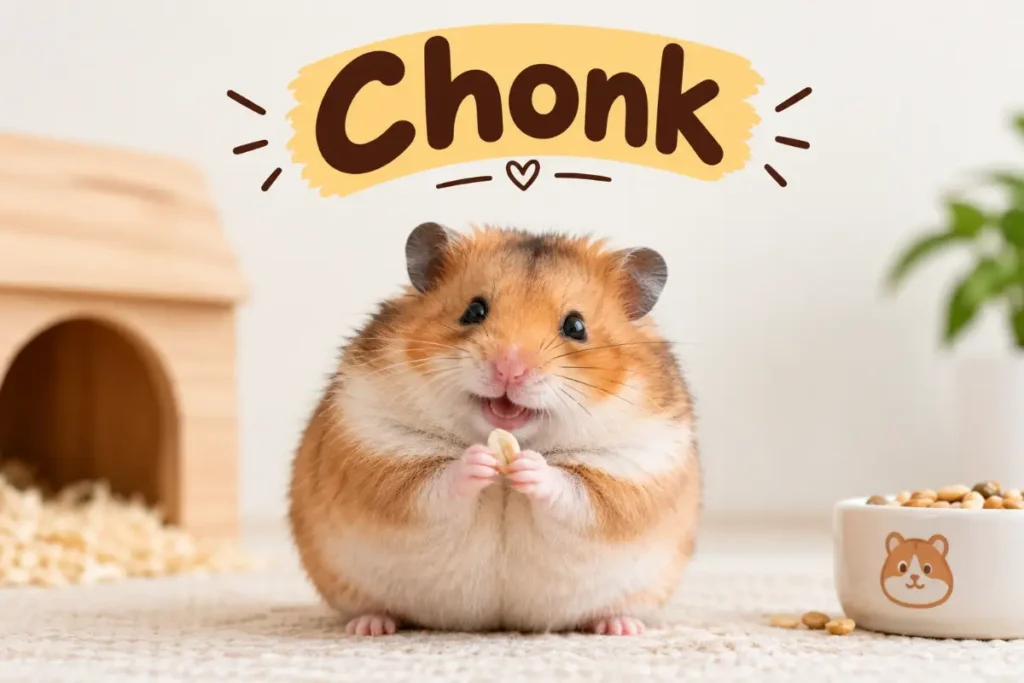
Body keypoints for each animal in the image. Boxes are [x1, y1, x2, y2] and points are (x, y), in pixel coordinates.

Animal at [287, 222, 701, 637]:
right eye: (474, 310)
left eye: (576, 326)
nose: (509, 368)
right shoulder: (377, 443)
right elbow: (432, 484)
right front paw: (481, 460)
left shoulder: (634, 468)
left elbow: (575, 492)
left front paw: (528, 465)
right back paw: (371, 626)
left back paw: (620, 626)